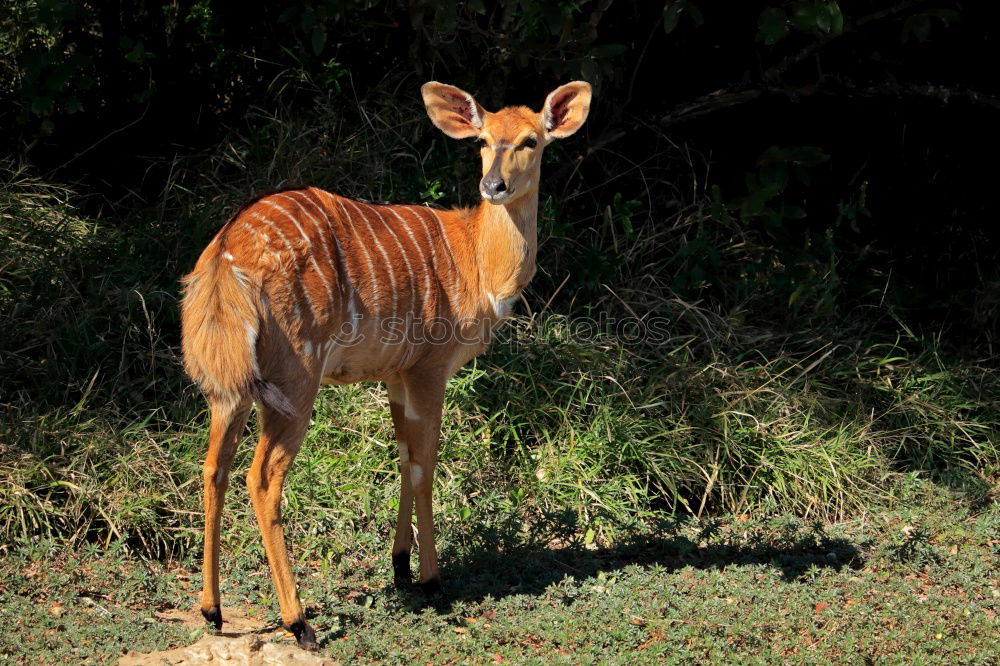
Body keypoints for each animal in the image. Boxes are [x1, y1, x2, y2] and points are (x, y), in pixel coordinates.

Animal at [180, 80, 588, 644]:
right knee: (262, 477)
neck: (475, 259)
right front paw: (432, 582)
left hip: (231, 387)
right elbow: (425, 462)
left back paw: (212, 612)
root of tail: (225, 255)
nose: (494, 185)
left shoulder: (395, 375)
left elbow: (401, 455)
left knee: (213, 467)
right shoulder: (429, 368)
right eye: (483, 139)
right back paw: (298, 622)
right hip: (296, 378)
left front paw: (399, 568)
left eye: (531, 140)